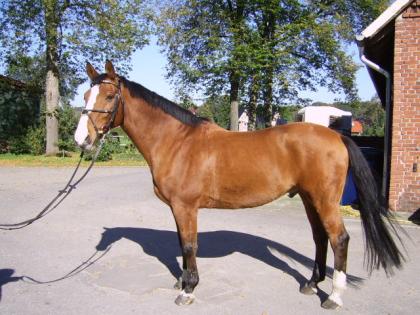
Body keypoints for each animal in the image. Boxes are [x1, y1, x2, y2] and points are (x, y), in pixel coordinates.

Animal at [74, 61, 402, 312]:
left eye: (109, 96)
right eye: (86, 94)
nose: (82, 139)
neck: (177, 142)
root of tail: (336, 137)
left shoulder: (185, 207)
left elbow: (189, 245)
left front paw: (188, 290)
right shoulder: (179, 209)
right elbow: (182, 244)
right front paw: (182, 281)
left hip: (325, 200)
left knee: (339, 239)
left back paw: (333, 297)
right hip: (310, 199)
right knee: (320, 238)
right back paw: (311, 284)